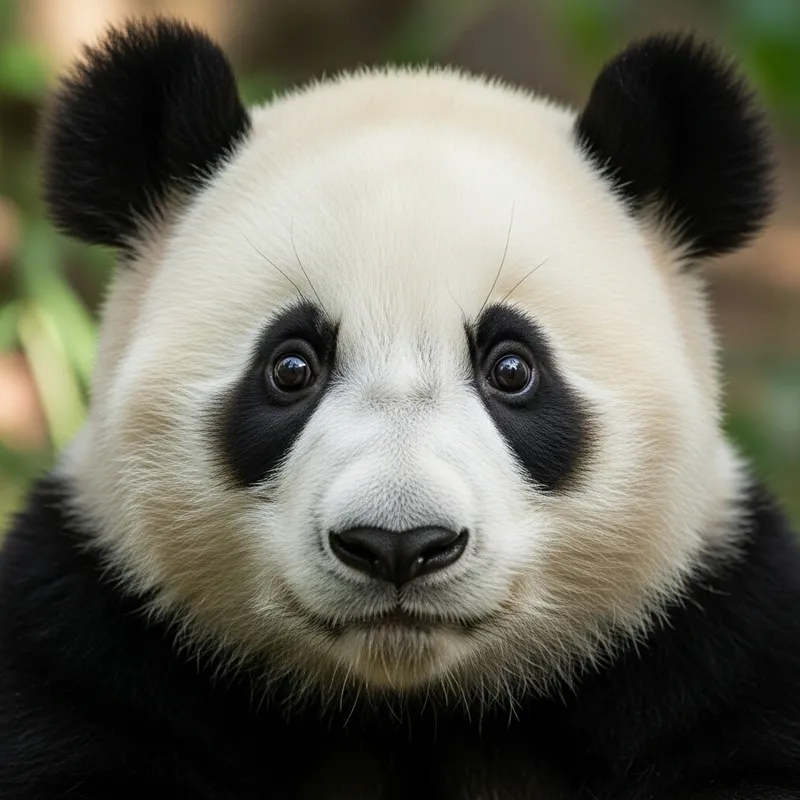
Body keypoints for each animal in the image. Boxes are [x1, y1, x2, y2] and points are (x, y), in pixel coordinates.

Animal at [1, 15, 799, 799]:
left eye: (513, 370)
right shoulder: (95, 639)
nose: (397, 544)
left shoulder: (711, 646)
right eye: (291, 368)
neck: (411, 710)